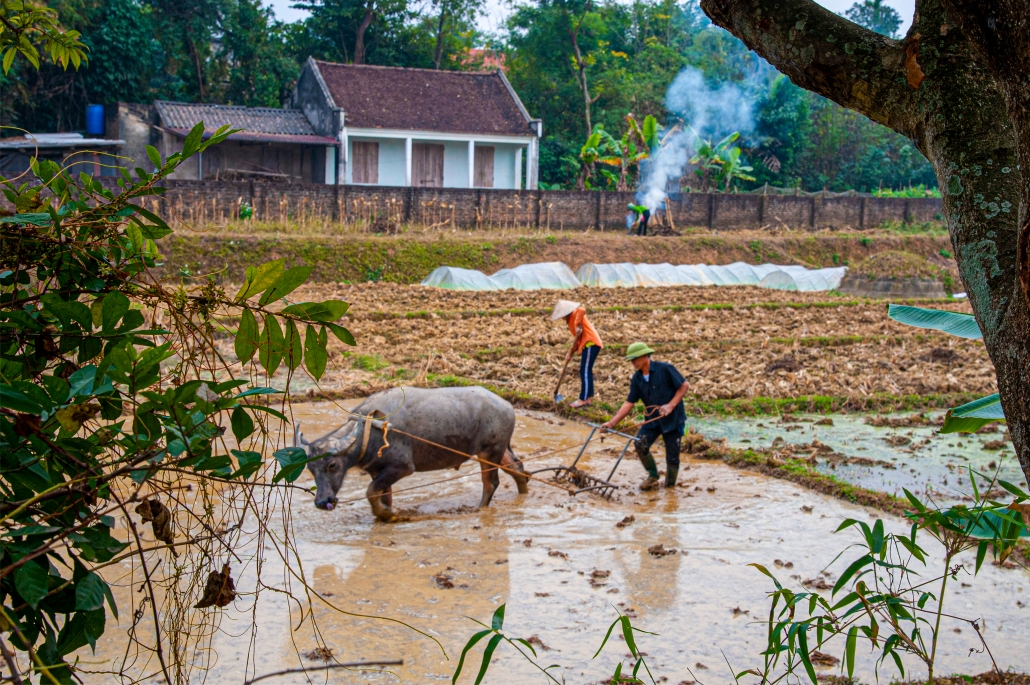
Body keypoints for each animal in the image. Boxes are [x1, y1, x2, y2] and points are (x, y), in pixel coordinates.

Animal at [292, 385, 527, 519]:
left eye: (333, 465)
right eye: (310, 468)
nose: (321, 502)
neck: (370, 430)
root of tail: (507, 405)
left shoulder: (402, 467)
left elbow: (370, 491)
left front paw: (388, 514)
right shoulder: (378, 471)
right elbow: (382, 495)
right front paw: (385, 514)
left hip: (490, 452)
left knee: (491, 482)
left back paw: (480, 508)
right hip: (497, 451)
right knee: (517, 468)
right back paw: (523, 492)